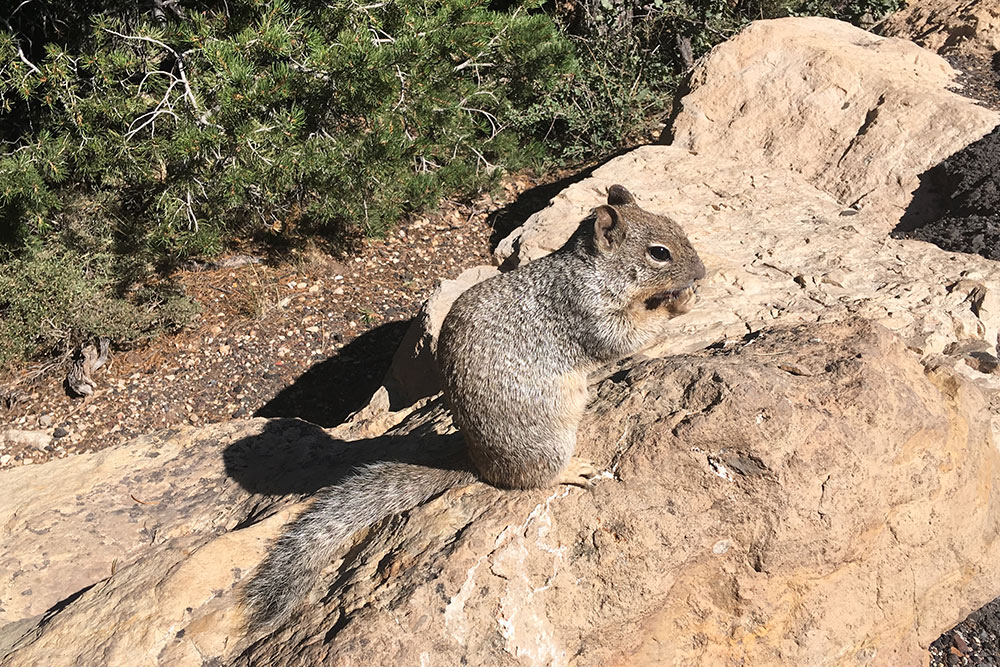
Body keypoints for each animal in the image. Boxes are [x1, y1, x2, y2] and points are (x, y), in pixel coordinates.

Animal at [243, 185, 708, 628]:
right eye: (659, 252)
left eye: (677, 227)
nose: (701, 272)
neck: (587, 269)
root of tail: (480, 464)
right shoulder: (586, 311)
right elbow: (624, 336)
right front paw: (679, 302)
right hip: (549, 442)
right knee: (533, 479)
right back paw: (572, 470)